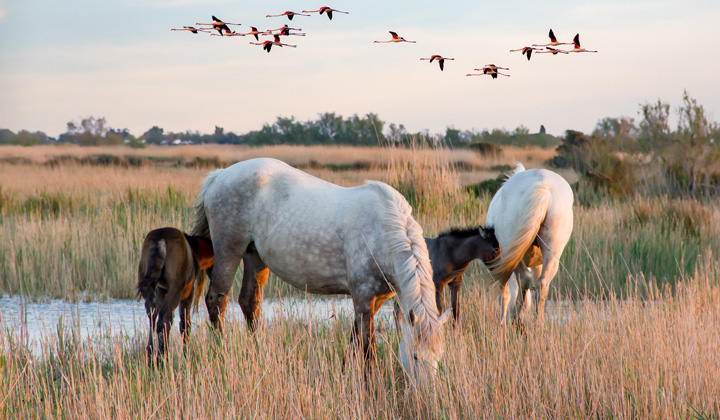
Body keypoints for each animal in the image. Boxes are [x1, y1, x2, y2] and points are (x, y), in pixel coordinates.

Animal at [135, 226, 214, 364]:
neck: (195, 251)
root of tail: (160, 240)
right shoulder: (188, 291)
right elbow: (185, 323)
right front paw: (187, 355)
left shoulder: (162, 290)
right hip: (176, 286)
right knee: (165, 318)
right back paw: (162, 358)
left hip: (147, 283)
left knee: (153, 315)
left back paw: (151, 356)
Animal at [191, 159, 450, 382]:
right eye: (415, 356)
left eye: (439, 358)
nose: (425, 397)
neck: (384, 232)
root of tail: (219, 176)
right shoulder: (364, 297)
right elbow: (368, 347)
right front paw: (370, 384)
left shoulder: (374, 300)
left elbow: (355, 338)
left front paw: (345, 374)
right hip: (228, 251)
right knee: (217, 301)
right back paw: (222, 353)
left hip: (254, 257)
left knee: (249, 303)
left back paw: (259, 353)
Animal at [484, 163, 572, 324]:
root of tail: (544, 186)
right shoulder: (537, 263)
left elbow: (504, 295)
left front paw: (501, 323)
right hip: (552, 251)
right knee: (542, 284)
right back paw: (538, 323)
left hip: (512, 251)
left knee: (524, 278)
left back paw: (517, 317)